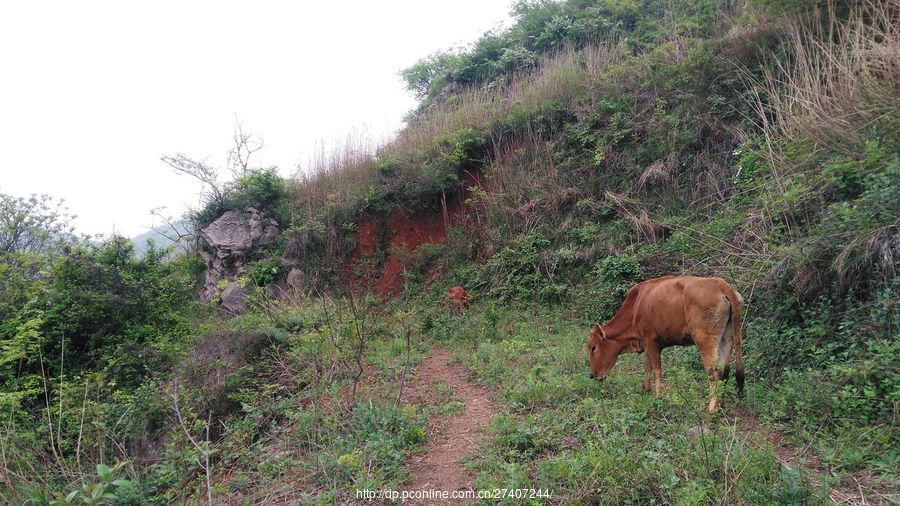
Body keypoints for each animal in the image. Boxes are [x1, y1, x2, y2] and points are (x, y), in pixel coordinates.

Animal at [588, 274, 740, 414]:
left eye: (593, 347)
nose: (592, 375)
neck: (636, 306)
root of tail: (721, 284)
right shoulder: (646, 343)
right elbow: (647, 366)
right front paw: (645, 389)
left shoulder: (651, 341)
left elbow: (656, 369)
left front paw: (657, 397)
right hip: (727, 337)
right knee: (725, 370)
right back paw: (721, 406)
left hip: (705, 341)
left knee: (713, 371)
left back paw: (711, 409)